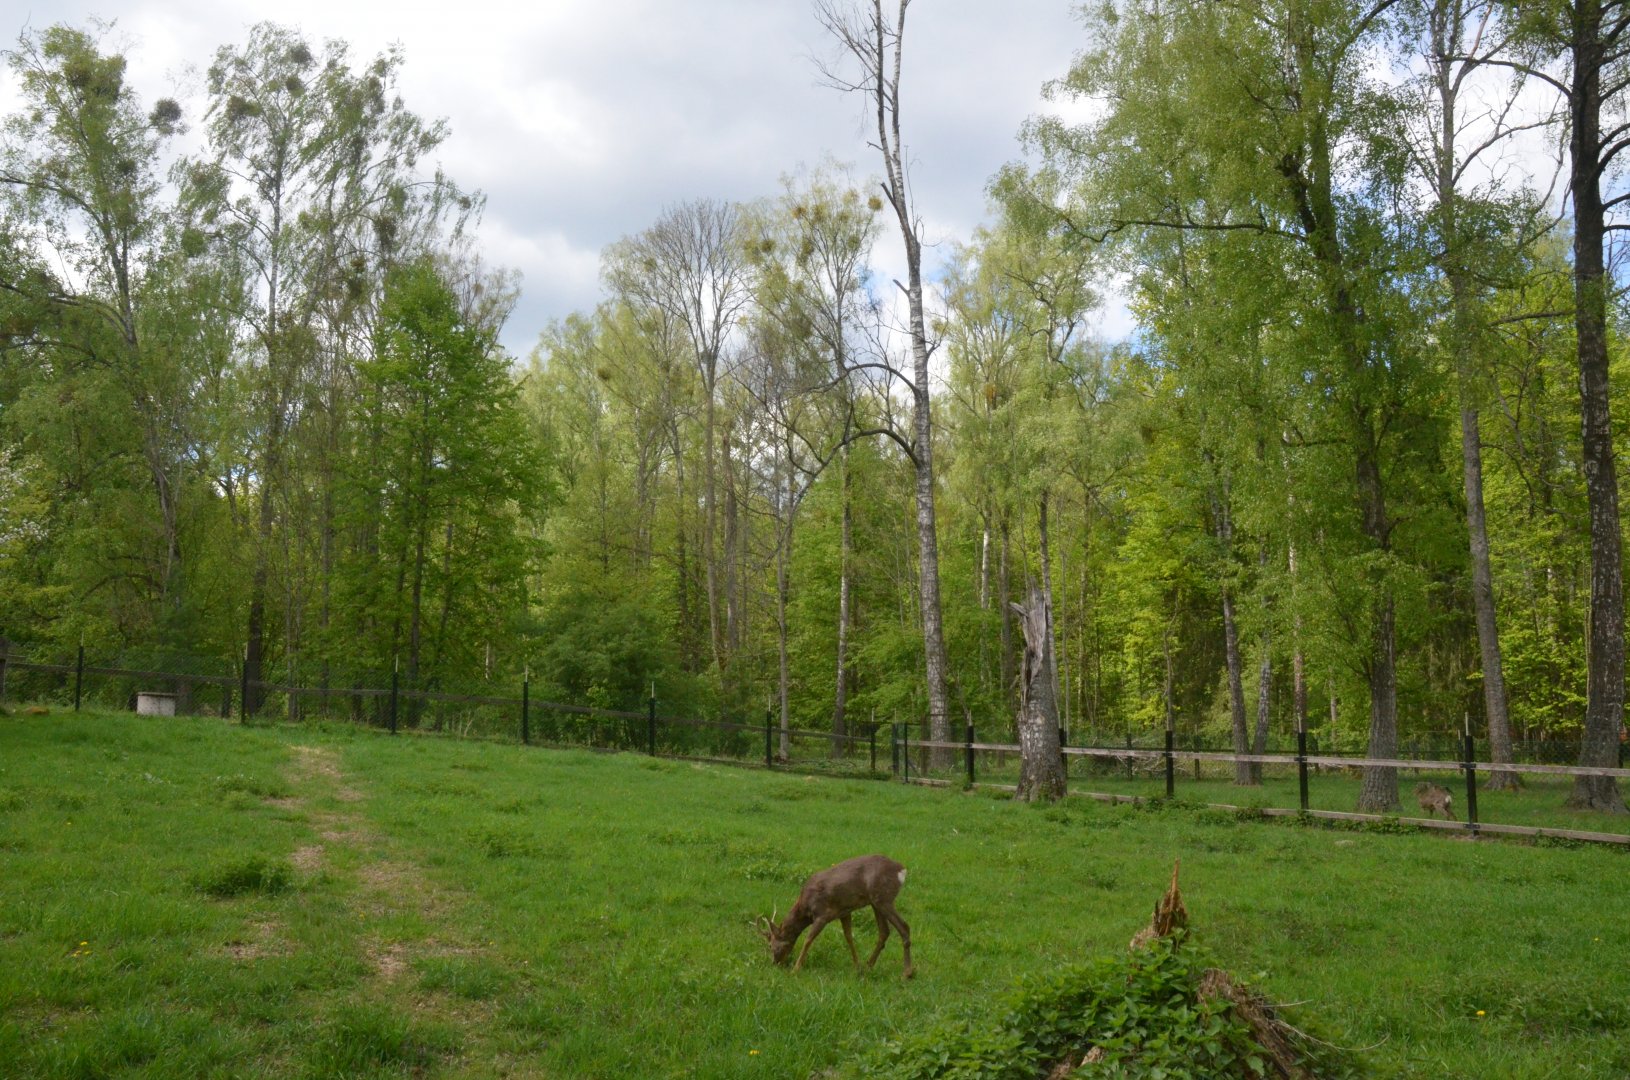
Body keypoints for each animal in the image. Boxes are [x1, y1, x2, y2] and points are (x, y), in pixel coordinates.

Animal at [756, 854, 914, 979]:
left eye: (770, 945)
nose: (775, 963)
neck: (805, 907)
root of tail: (902, 870)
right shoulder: (844, 912)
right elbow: (849, 938)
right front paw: (857, 967)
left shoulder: (822, 914)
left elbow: (808, 939)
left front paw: (795, 969)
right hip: (876, 902)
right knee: (884, 931)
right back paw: (869, 964)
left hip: (883, 898)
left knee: (904, 927)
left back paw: (907, 973)